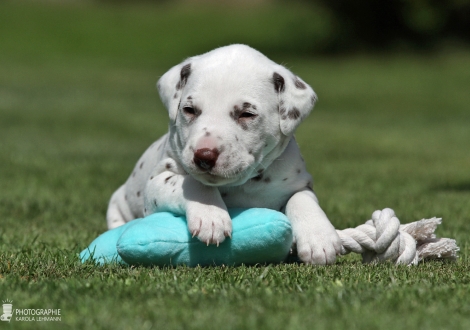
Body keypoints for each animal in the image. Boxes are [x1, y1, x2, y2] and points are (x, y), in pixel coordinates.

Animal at [106, 44, 342, 266]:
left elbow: (301, 198)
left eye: (247, 114)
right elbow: (191, 182)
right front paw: (211, 216)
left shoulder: (297, 182)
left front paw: (319, 237)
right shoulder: (157, 180)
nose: (204, 156)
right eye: (189, 110)